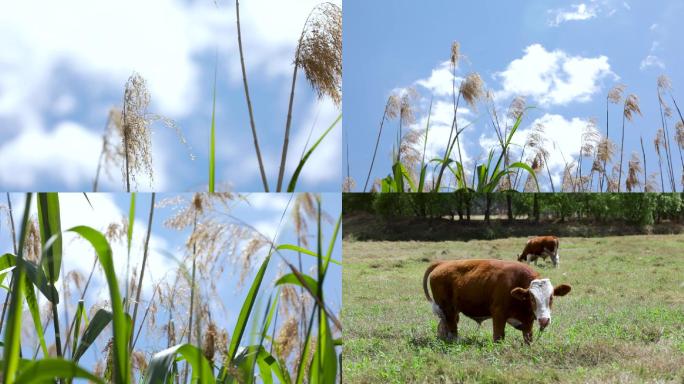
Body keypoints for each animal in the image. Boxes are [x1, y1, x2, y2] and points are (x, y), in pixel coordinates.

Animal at [422, 260, 572, 344]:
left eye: (551, 297)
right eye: (532, 298)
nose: (544, 320)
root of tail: (443, 263)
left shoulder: (528, 321)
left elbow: (528, 339)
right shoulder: (499, 314)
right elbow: (498, 337)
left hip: (449, 312)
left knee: (442, 328)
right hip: (448, 310)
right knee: (452, 331)